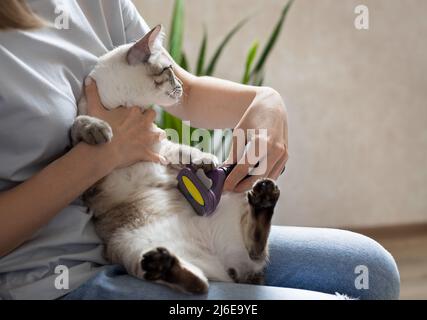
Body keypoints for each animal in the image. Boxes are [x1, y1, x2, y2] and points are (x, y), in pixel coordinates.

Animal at [71, 25, 280, 296]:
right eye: (169, 70)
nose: (181, 85)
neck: (123, 105)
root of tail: (221, 268)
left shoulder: (160, 146)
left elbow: (185, 151)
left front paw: (208, 161)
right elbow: (80, 123)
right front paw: (100, 130)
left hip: (233, 199)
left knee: (252, 253)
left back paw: (264, 197)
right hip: (130, 247)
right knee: (199, 284)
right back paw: (163, 264)